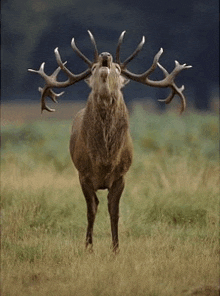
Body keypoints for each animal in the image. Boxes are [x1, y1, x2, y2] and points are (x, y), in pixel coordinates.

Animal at [28, 30, 192, 252]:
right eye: (93, 68)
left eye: (117, 68)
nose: (105, 56)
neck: (104, 160)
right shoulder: (83, 174)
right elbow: (91, 210)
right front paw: (88, 247)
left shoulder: (121, 175)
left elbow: (114, 211)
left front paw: (116, 248)